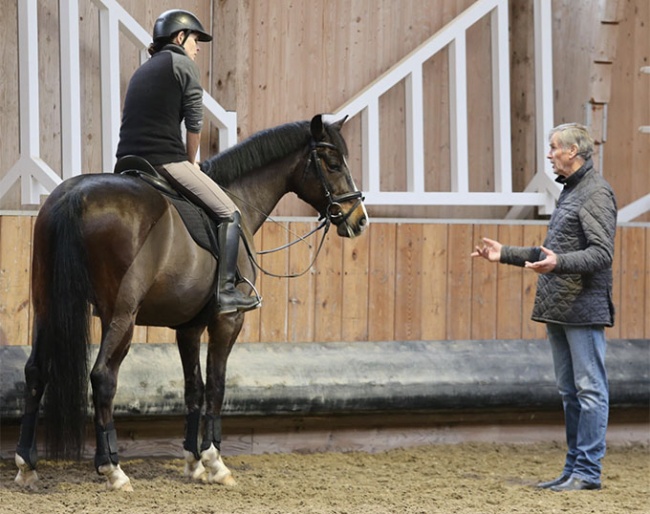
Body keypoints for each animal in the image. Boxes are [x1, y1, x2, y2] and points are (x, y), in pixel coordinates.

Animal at [15, 113, 368, 488]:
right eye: (333, 163)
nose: (359, 219)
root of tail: (76, 195)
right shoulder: (227, 320)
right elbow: (216, 385)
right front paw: (215, 462)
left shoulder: (189, 327)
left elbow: (193, 388)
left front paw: (193, 461)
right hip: (121, 315)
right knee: (103, 377)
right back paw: (113, 469)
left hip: (46, 308)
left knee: (36, 372)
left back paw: (26, 464)